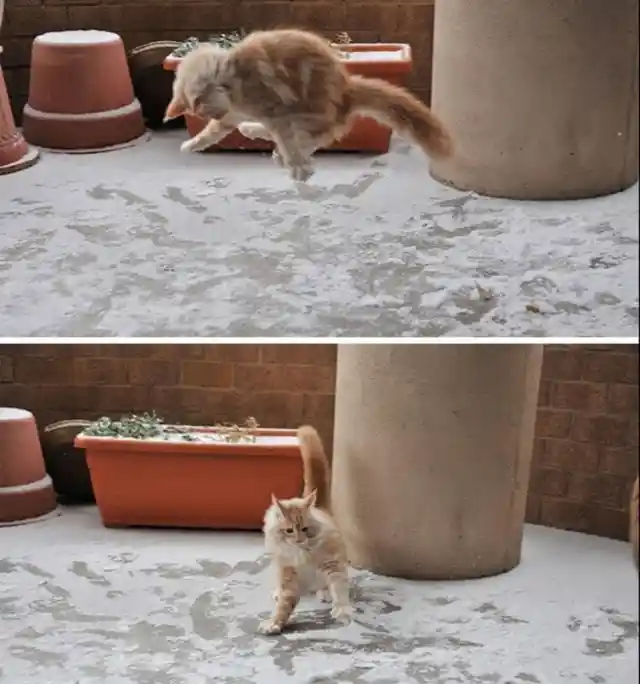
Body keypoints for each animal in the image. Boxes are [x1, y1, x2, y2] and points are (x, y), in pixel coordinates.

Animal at [165, 28, 456, 182]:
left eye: (203, 104)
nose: (214, 111)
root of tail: (346, 89)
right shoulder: (232, 118)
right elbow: (211, 134)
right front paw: (191, 145)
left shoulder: (274, 110)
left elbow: (286, 139)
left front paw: (297, 166)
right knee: (318, 136)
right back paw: (256, 133)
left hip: (306, 109)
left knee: (320, 134)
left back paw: (286, 155)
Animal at [258, 424, 350, 632]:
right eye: (289, 530)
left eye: (306, 529)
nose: (299, 539)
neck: (303, 553)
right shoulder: (289, 573)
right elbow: (285, 603)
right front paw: (275, 622)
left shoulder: (332, 565)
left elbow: (339, 589)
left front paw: (342, 610)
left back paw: (324, 593)